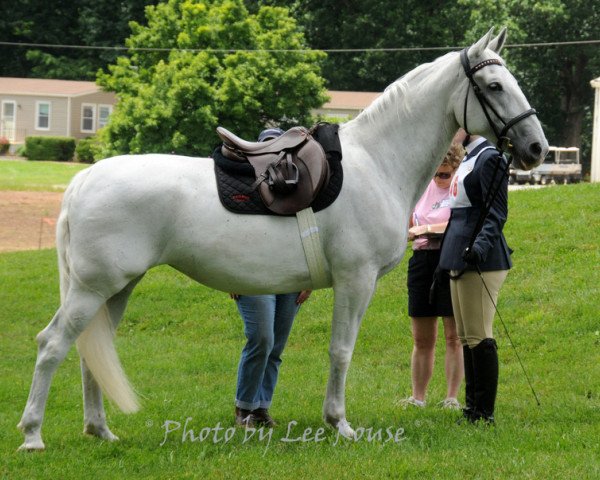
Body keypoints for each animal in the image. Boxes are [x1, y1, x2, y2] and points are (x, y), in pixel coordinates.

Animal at [16, 29, 548, 450]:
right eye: (494, 86)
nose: (537, 147)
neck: (375, 161)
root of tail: (83, 180)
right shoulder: (355, 280)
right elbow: (341, 350)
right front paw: (339, 424)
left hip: (117, 287)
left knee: (89, 350)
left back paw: (100, 431)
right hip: (93, 288)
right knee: (52, 344)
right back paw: (33, 435)